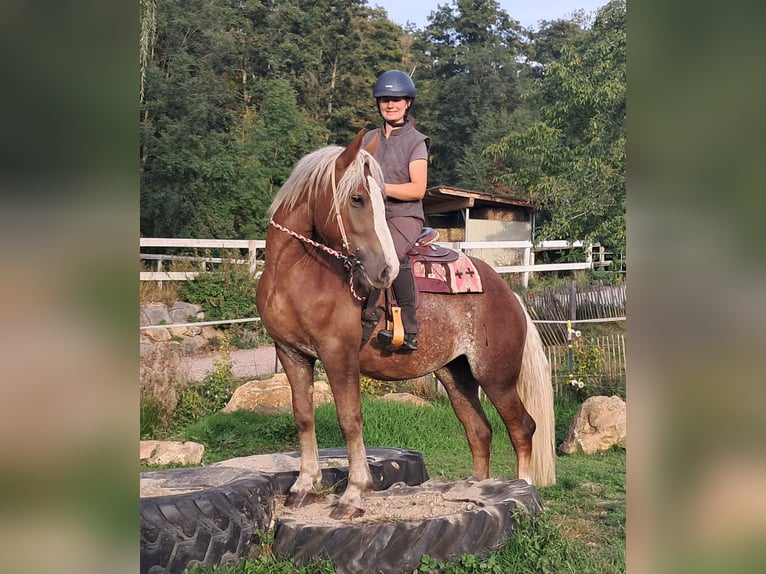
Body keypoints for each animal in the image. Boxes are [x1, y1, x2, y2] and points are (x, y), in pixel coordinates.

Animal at [255, 129, 556, 520]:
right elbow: (303, 416)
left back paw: (522, 491)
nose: (385, 270)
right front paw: (304, 486)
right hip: (455, 375)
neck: (296, 274)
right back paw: (476, 488)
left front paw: (354, 494)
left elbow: (350, 419)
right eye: (357, 198)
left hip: (496, 377)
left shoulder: (338, 356)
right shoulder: (292, 353)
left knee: (521, 428)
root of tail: (509, 294)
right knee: (479, 430)